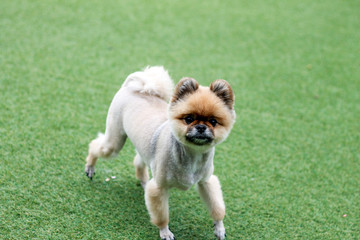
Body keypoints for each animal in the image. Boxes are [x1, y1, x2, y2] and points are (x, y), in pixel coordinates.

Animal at [85, 66, 236, 240]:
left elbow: (217, 207)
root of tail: (131, 88)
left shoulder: (206, 181)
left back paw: (143, 181)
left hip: (144, 148)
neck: (192, 154)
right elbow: (162, 216)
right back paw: (90, 167)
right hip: (114, 142)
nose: (201, 127)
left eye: (213, 121)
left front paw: (219, 227)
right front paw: (165, 232)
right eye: (189, 119)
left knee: (138, 160)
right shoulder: (159, 188)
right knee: (95, 146)